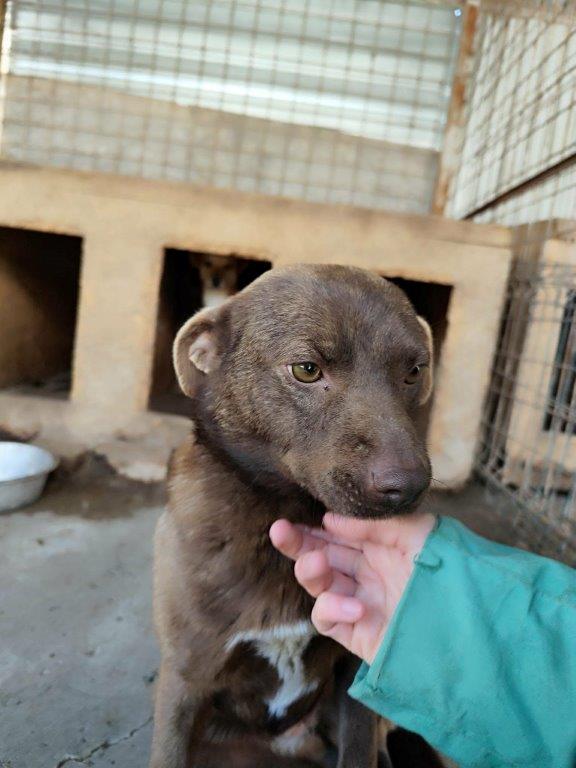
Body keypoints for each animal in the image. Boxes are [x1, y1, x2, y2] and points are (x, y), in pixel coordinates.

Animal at [150, 264, 442, 768]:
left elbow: (358, 751)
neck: (288, 511)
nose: (407, 487)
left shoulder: (355, 676)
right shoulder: (186, 677)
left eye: (414, 371)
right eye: (307, 370)